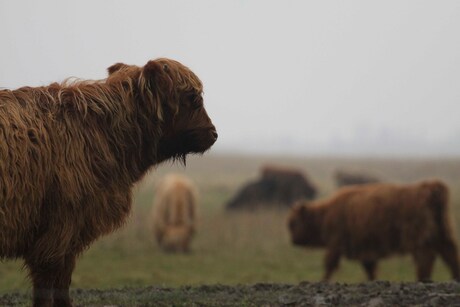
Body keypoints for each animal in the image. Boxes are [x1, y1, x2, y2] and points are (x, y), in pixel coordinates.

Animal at [288, 182, 460, 282]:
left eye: (293, 223)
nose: (293, 240)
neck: (325, 212)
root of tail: (431, 187)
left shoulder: (335, 245)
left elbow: (329, 266)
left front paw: (323, 281)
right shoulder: (366, 252)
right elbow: (370, 269)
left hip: (419, 241)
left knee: (426, 259)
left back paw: (422, 279)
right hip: (442, 235)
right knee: (450, 256)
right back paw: (455, 278)